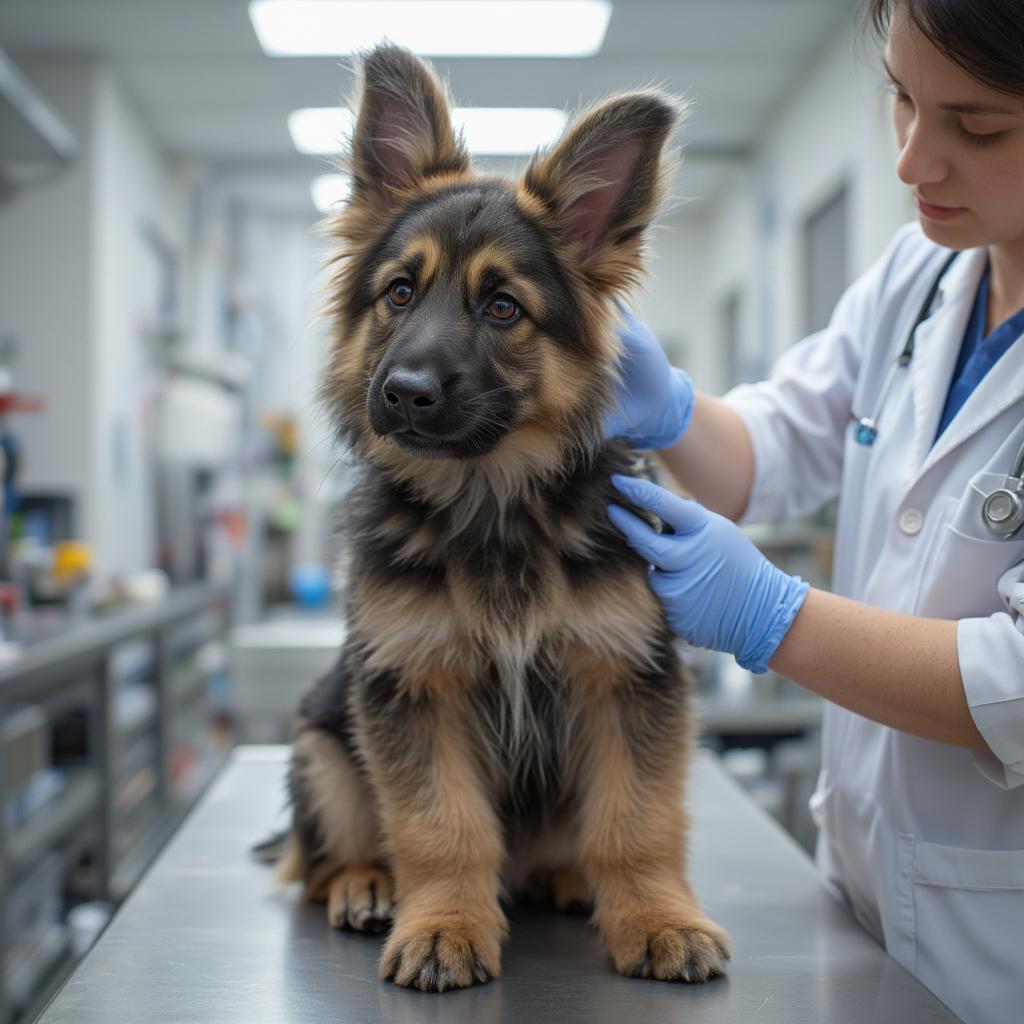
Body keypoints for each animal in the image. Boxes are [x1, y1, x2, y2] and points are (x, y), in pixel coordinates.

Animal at [276, 44, 733, 987]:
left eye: (502, 308)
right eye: (399, 293)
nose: (402, 393)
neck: (493, 503)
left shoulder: (626, 677)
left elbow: (637, 820)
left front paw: (658, 917)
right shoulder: (412, 686)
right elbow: (438, 825)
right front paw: (443, 924)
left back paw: (565, 877)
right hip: (321, 743)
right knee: (318, 858)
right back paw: (366, 884)